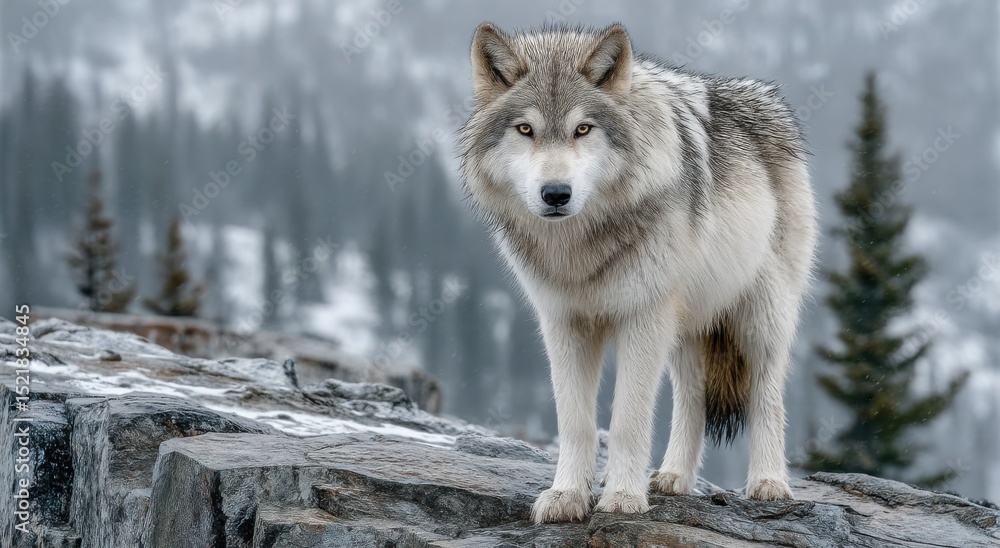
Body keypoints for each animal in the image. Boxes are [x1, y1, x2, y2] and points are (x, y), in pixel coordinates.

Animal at [459, 23, 817, 523]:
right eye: (525, 129)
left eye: (583, 129)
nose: (556, 193)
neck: (581, 245)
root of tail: (768, 99)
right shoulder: (564, 322)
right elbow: (575, 422)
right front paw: (567, 495)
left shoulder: (643, 317)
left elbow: (628, 419)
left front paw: (624, 498)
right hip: (687, 328)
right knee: (692, 398)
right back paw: (672, 478)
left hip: (759, 319)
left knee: (767, 396)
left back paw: (768, 483)